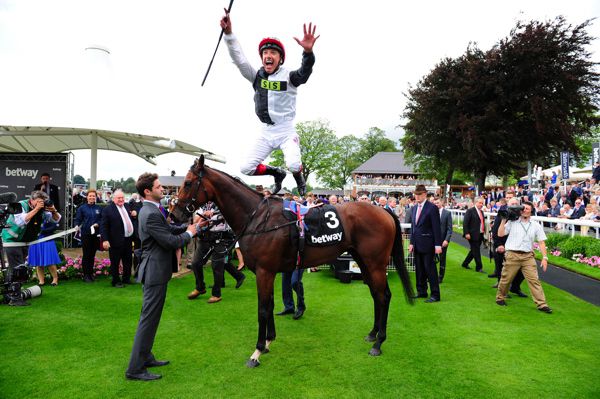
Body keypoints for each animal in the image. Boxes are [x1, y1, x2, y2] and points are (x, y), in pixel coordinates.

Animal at [171, 156, 414, 368]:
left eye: (188, 183)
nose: (174, 215)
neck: (258, 219)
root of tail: (384, 211)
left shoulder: (264, 271)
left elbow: (262, 308)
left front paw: (257, 351)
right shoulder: (268, 272)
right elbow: (270, 304)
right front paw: (268, 341)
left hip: (375, 263)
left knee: (384, 296)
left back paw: (379, 343)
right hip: (363, 261)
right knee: (376, 295)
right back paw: (372, 334)